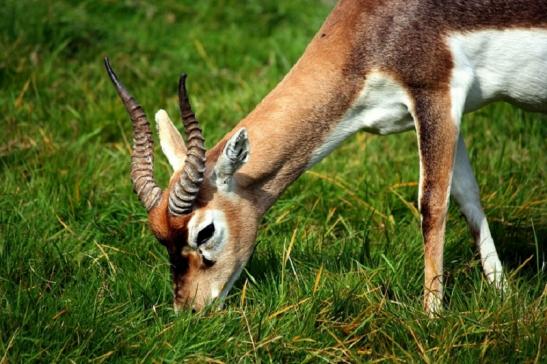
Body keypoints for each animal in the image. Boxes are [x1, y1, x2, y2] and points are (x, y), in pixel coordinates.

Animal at [106, 0, 547, 316]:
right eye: (160, 239)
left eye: (205, 232)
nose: (189, 310)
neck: (381, 24)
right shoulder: (446, 112)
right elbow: (468, 197)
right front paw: (504, 294)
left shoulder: (435, 94)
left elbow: (432, 204)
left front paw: (432, 316)